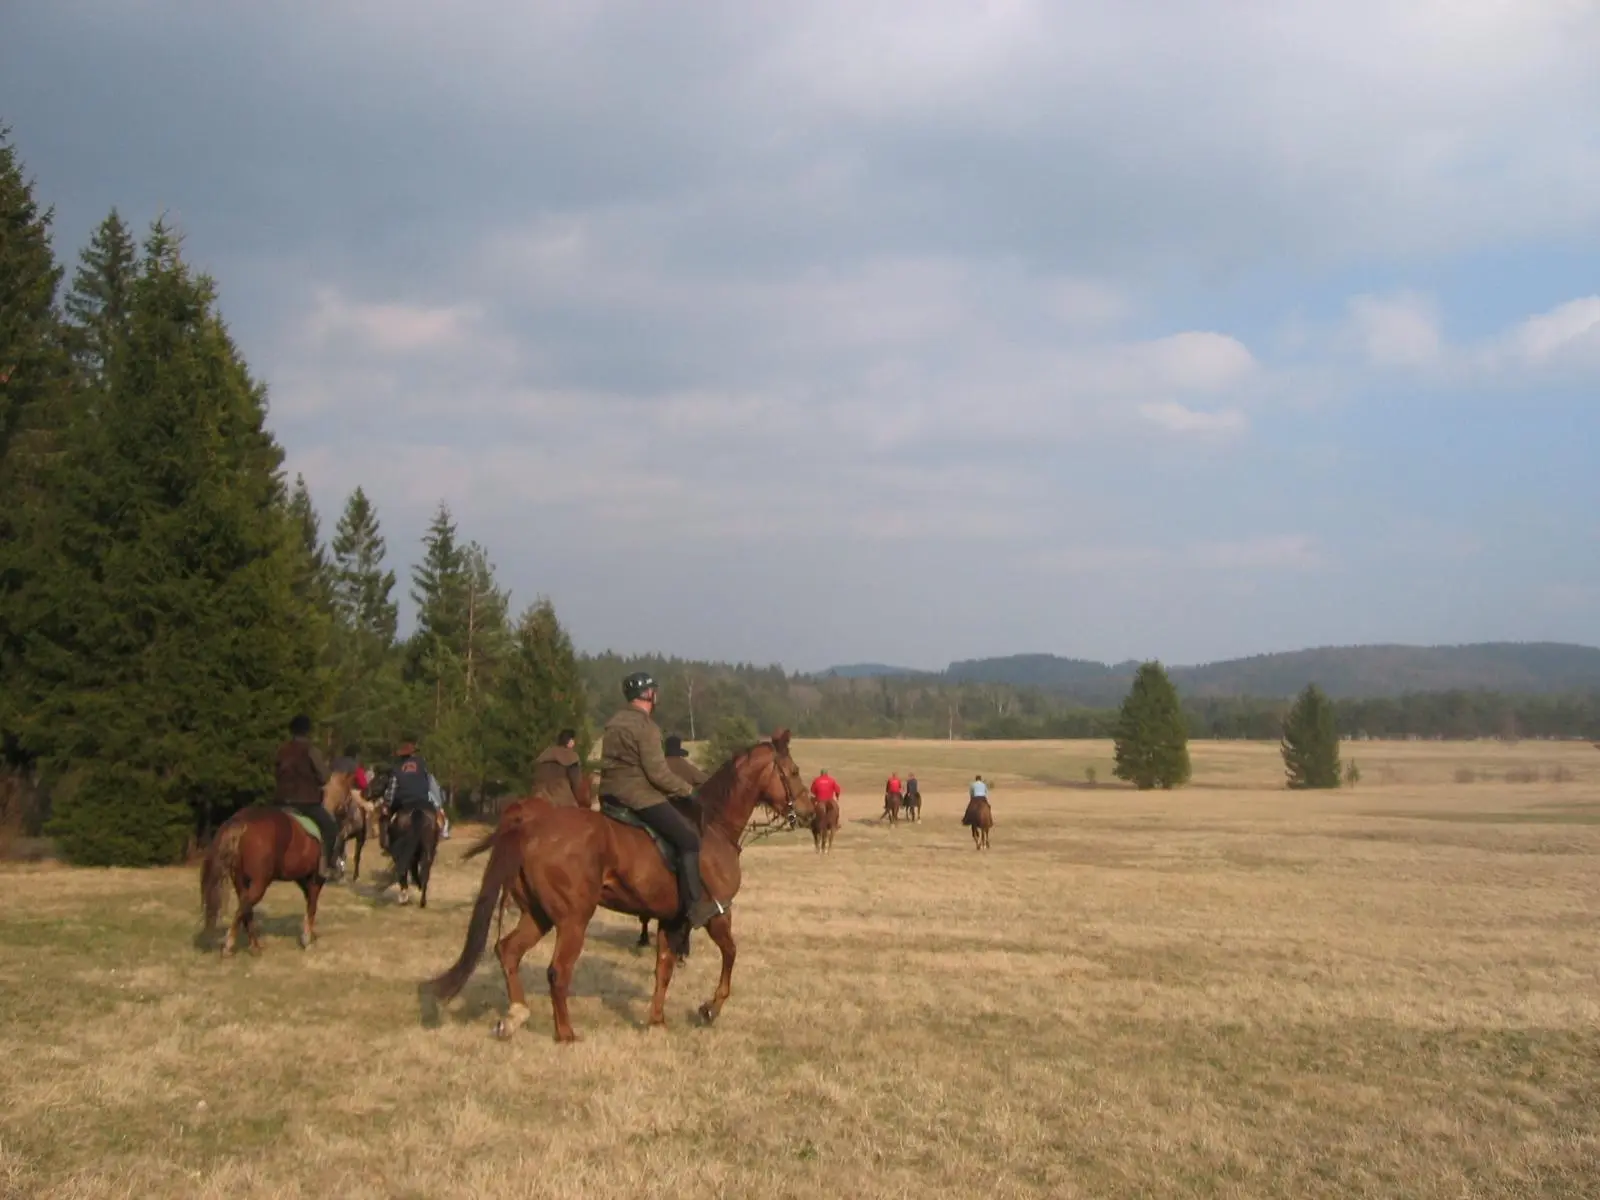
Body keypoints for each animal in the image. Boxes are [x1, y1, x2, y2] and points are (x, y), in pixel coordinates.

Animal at [201, 771, 358, 960]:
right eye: (350, 796)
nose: (352, 824)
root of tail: (241, 821)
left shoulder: (303, 879)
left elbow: (309, 904)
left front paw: (309, 936)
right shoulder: (316, 879)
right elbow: (312, 906)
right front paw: (307, 939)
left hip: (240, 880)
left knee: (246, 909)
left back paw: (255, 946)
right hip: (260, 882)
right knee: (243, 908)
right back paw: (229, 945)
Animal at [425, 732, 812, 1043]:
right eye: (793, 771)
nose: (809, 812)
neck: (713, 826)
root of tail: (533, 821)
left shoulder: (671, 920)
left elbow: (664, 969)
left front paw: (656, 1021)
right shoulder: (717, 914)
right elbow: (730, 954)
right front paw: (710, 1008)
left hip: (537, 915)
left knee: (508, 951)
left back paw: (515, 1016)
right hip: (573, 921)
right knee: (557, 971)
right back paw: (565, 1033)